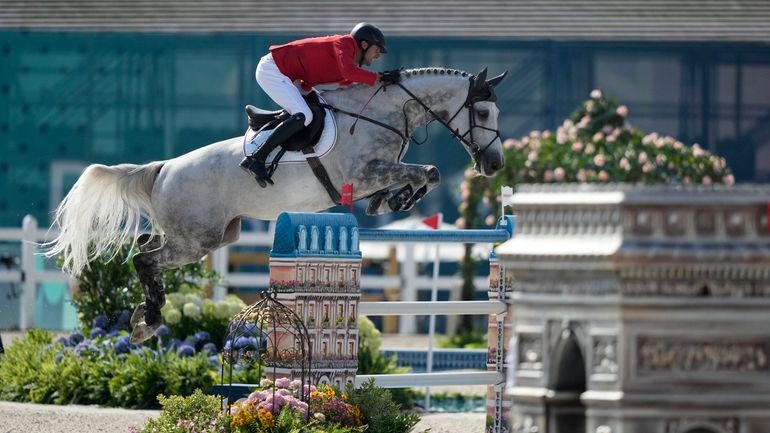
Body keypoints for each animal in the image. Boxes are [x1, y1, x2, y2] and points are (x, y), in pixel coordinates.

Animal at [45, 66, 508, 342]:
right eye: (484, 112)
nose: (494, 164)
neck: (387, 112)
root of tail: (162, 168)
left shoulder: (375, 175)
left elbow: (419, 176)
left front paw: (394, 200)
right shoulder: (366, 172)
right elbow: (428, 171)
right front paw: (400, 196)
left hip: (211, 236)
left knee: (144, 248)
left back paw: (144, 315)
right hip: (197, 238)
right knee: (145, 258)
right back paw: (153, 318)